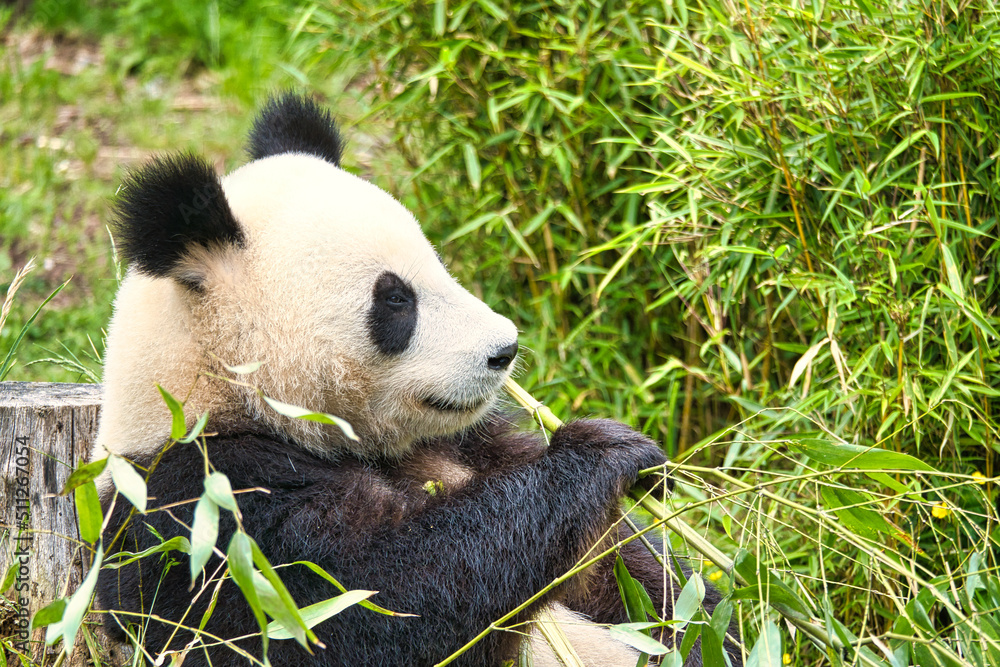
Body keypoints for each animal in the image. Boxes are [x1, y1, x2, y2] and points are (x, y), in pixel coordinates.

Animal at [93, 93, 741, 667]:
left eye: (438, 265)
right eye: (396, 299)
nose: (503, 350)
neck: (218, 392)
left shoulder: (469, 441)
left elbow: (632, 581)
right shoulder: (207, 503)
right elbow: (369, 604)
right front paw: (602, 451)